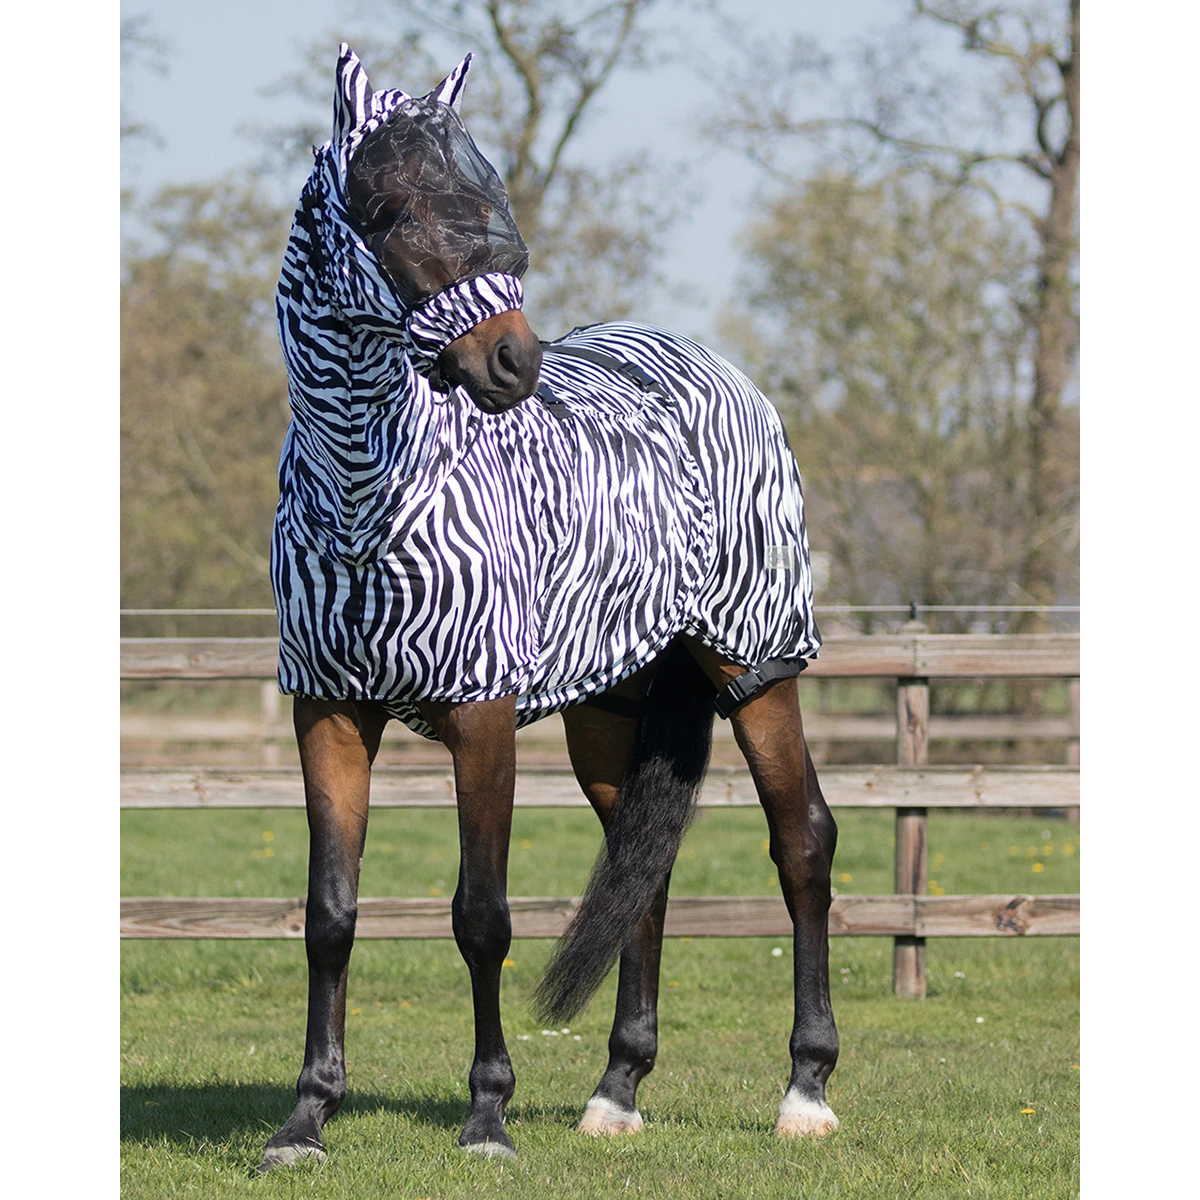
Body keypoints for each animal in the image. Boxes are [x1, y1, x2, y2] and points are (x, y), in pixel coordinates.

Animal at [260, 43, 839, 1171]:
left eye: (489, 202)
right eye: (388, 210)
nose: (512, 363)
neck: (368, 497)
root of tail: (717, 373)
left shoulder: (481, 715)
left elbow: (481, 917)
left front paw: (486, 1117)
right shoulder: (328, 712)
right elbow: (331, 915)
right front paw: (307, 1118)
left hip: (757, 667)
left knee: (803, 843)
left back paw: (806, 1090)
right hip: (612, 710)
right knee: (643, 869)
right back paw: (616, 1091)